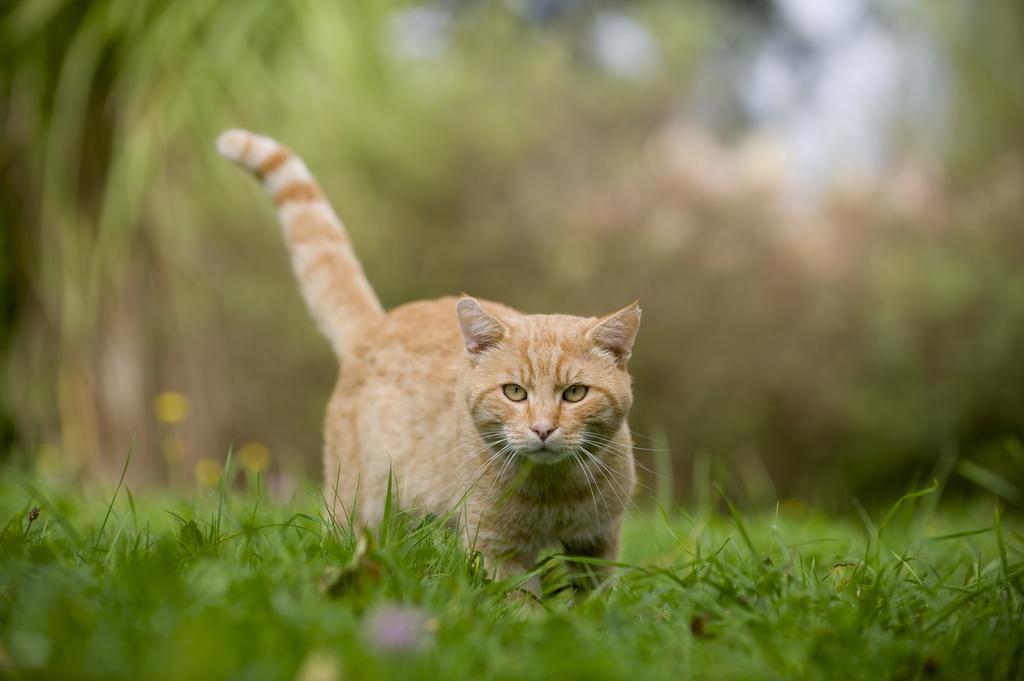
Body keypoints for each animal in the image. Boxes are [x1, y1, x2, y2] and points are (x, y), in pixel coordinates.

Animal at [218, 129, 638, 585]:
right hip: (356, 502)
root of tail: (380, 322)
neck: (553, 491)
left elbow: (594, 597)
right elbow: (519, 600)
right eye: (514, 392)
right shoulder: (496, 548)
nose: (543, 429)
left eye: (575, 394)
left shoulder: (599, 543)